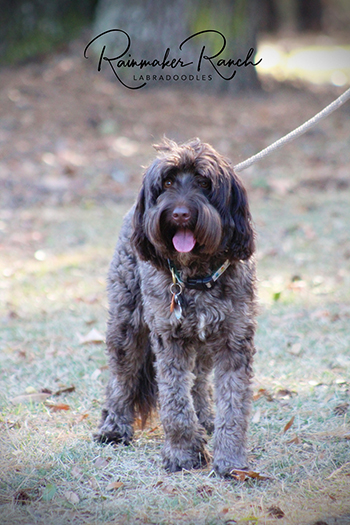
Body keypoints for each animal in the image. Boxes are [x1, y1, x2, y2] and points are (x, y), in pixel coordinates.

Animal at [95, 138, 258, 474]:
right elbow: (174, 402)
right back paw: (114, 427)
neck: (196, 276)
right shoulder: (169, 339)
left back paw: (206, 419)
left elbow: (233, 403)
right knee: (121, 378)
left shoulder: (234, 341)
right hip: (126, 324)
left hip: (204, 345)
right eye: (168, 183)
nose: (180, 214)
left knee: (199, 382)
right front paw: (183, 454)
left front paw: (230, 460)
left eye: (204, 183)